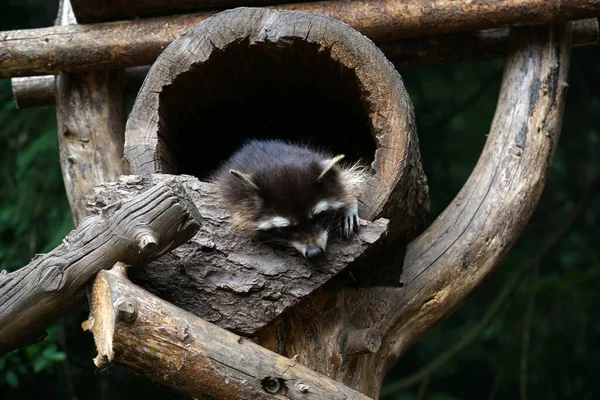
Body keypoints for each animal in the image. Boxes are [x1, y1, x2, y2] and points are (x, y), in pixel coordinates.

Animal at [213, 140, 368, 262]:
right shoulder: (234, 192)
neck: (280, 163)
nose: (315, 254)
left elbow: (344, 180)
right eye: (287, 228)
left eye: (320, 216)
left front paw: (349, 204)